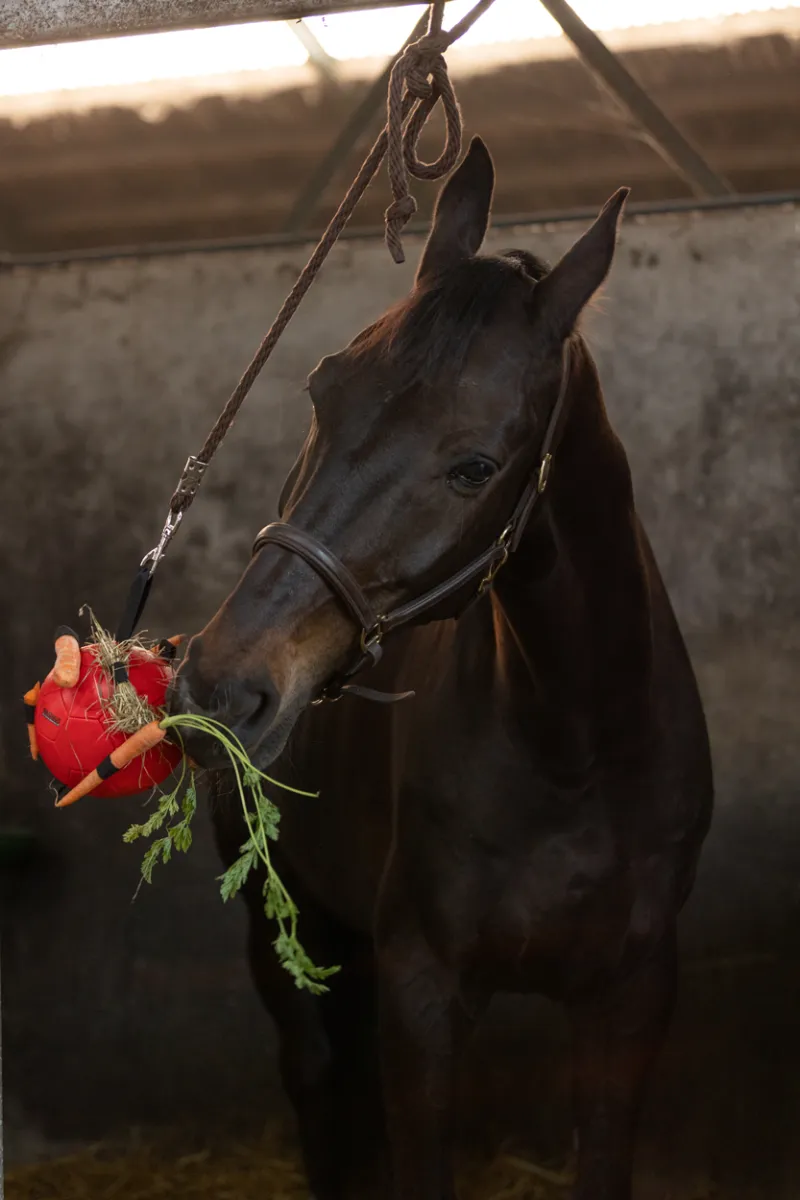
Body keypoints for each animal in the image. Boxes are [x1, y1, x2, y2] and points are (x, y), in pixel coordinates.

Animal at [172, 137, 714, 1200]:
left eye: (474, 468)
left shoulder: (633, 996)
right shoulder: (421, 993)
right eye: (321, 389)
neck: (574, 750)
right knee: (317, 1081)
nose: (220, 687)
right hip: (285, 933)